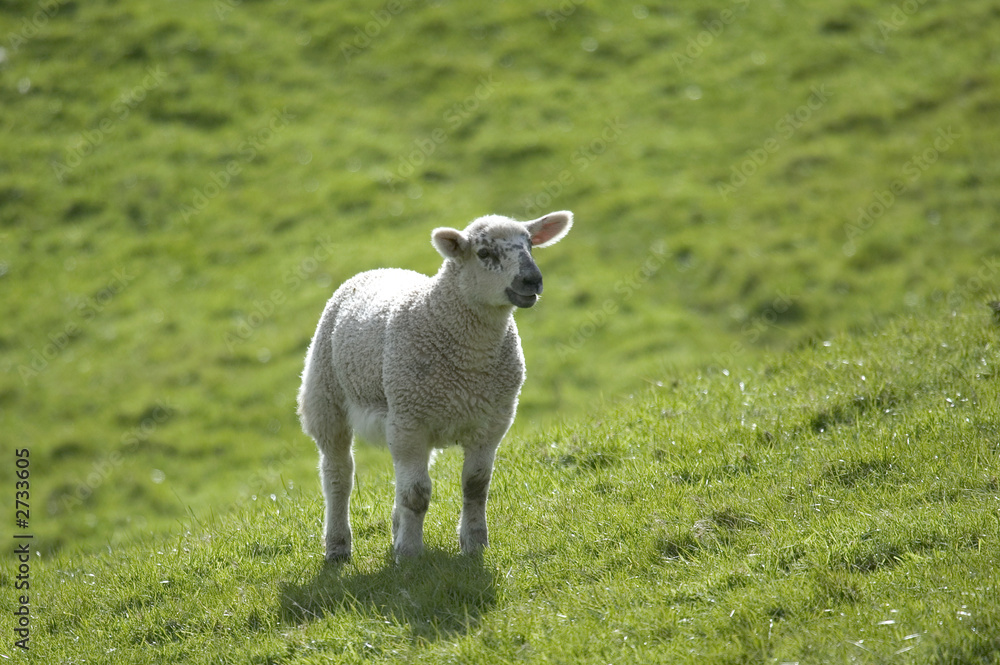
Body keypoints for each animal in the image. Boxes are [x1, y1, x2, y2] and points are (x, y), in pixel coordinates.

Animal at [297, 211, 573, 561]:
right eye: (484, 253)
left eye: (530, 246)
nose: (532, 280)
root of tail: (378, 269)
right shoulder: (410, 422)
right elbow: (417, 494)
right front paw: (410, 554)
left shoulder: (491, 423)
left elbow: (475, 486)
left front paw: (475, 544)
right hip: (326, 396)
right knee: (338, 475)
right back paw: (337, 547)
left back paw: (395, 529)